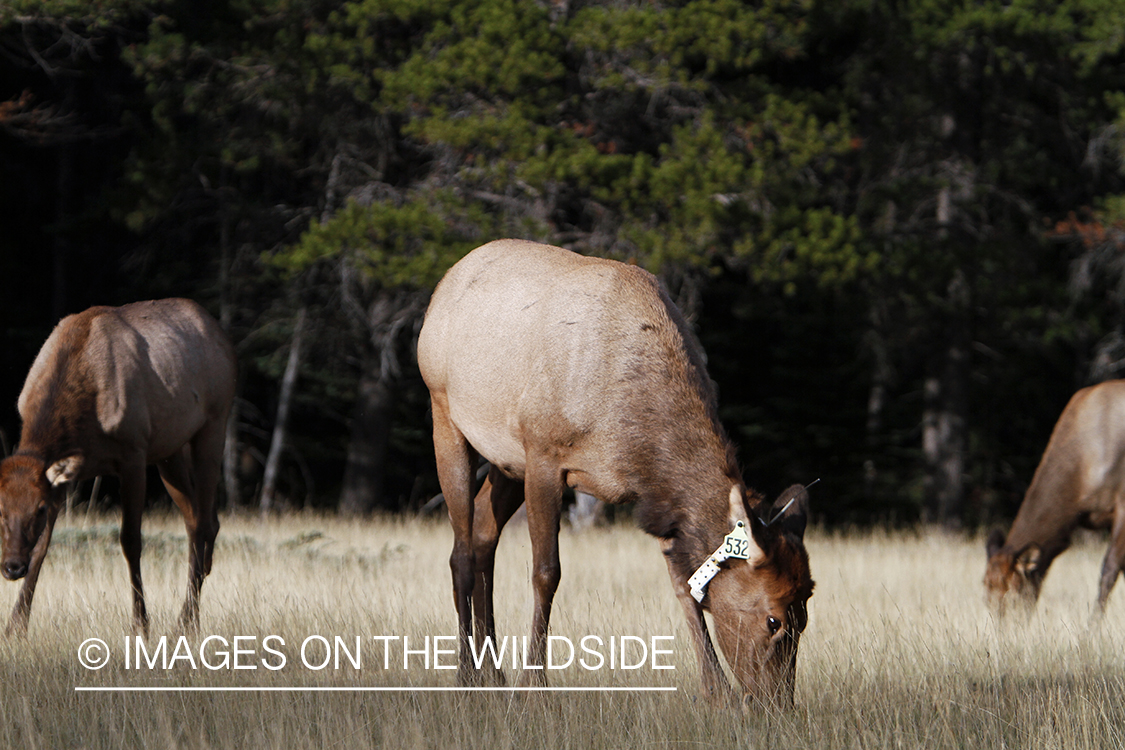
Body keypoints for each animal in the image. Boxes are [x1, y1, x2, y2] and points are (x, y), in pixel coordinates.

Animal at [0, 299, 235, 634]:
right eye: (0, 508)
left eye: (39, 509)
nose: (12, 566)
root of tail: (221, 335)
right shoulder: (62, 478)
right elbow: (42, 547)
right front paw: (16, 626)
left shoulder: (133, 455)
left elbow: (131, 541)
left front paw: (141, 623)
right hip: (170, 451)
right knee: (197, 519)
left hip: (213, 425)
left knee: (205, 522)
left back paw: (186, 620)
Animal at [418, 239, 814, 706]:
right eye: (773, 619)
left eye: (805, 616)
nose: (778, 704)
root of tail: (446, 282)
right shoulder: (545, 454)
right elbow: (545, 573)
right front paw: (534, 686)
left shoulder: (656, 500)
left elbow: (685, 587)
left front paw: (716, 693)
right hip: (445, 412)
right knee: (459, 550)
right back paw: (466, 675)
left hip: (506, 458)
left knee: (482, 532)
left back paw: (493, 675)